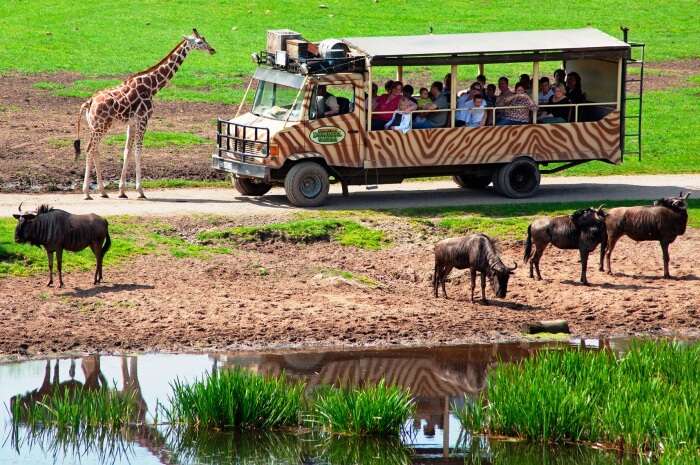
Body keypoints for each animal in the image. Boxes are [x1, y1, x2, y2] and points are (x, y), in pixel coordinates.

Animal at [73, 29, 216, 199]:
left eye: (205, 39)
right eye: (200, 42)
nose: (212, 50)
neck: (152, 86)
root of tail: (89, 102)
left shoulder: (132, 122)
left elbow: (127, 151)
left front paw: (122, 191)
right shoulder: (144, 119)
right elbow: (138, 151)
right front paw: (140, 190)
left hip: (95, 126)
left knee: (95, 150)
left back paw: (102, 191)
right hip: (101, 126)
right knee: (90, 149)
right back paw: (86, 192)